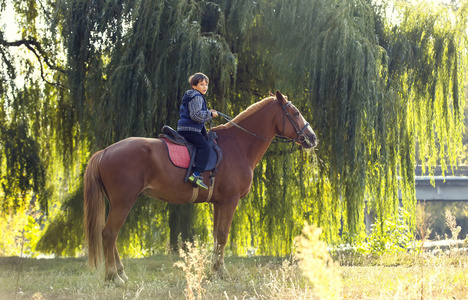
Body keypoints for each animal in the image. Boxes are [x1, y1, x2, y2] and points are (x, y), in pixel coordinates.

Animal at [84, 90, 318, 284]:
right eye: (295, 113)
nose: (312, 138)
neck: (238, 145)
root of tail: (105, 151)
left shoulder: (218, 203)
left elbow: (216, 236)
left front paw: (214, 271)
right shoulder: (230, 200)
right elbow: (223, 235)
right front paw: (221, 272)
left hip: (118, 202)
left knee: (112, 235)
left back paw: (120, 273)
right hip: (123, 201)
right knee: (109, 233)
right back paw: (114, 277)